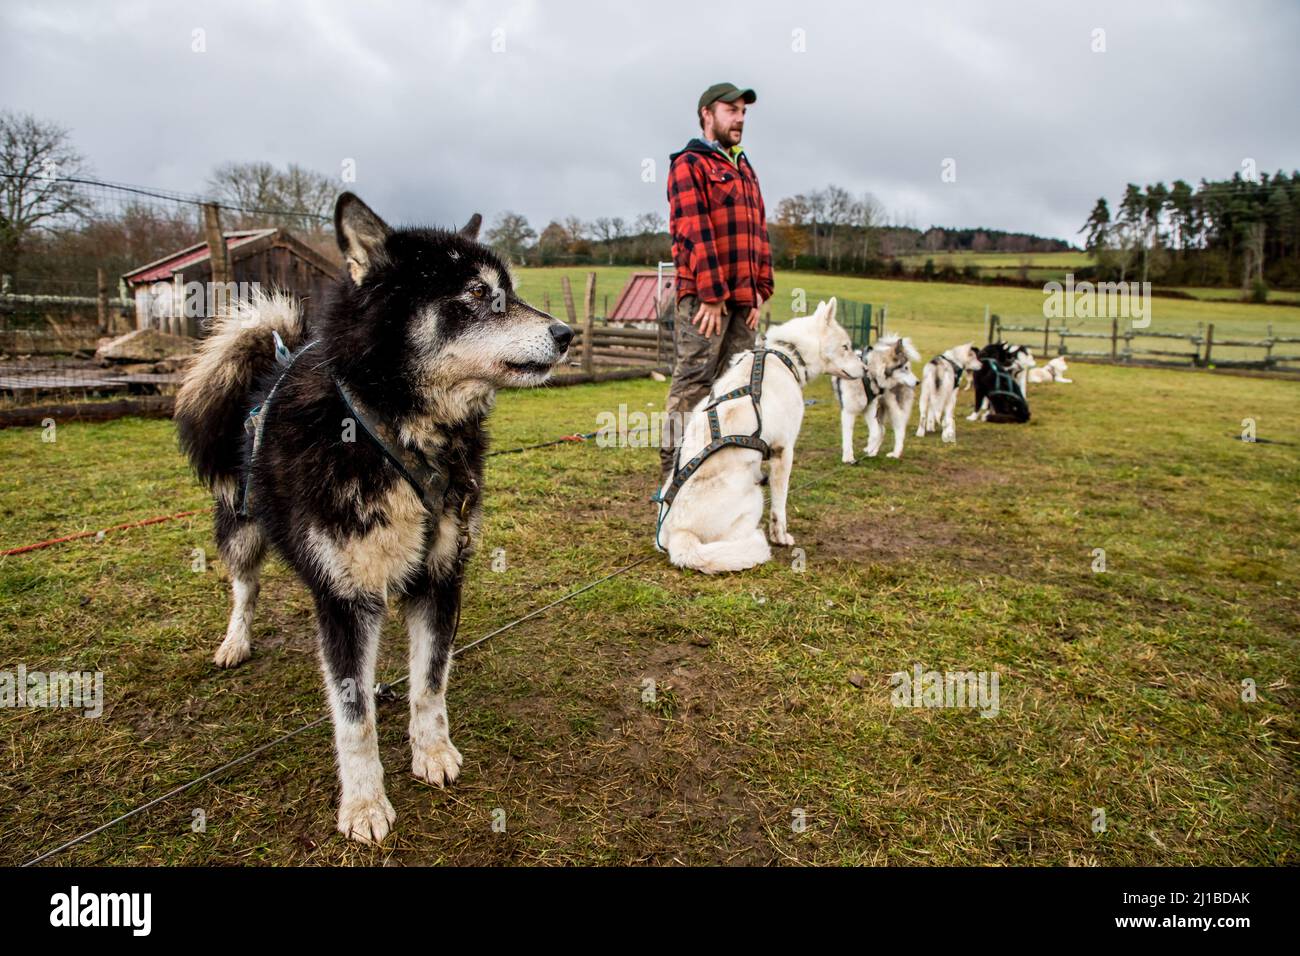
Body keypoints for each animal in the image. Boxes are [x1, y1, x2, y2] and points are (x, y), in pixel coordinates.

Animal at [174, 195, 574, 842]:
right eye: (479, 293)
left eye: (509, 290)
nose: (566, 333)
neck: (395, 434)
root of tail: (273, 363)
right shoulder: (344, 597)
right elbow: (354, 715)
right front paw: (363, 802)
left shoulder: (441, 577)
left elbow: (430, 683)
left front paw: (431, 752)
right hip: (243, 525)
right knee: (245, 587)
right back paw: (235, 640)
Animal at [655, 295, 868, 572]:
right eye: (846, 347)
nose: (866, 369)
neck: (786, 354)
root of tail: (679, 534)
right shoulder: (784, 451)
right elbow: (780, 505)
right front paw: (781, 536)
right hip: (754, 493)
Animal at [832, 335, 925, 463]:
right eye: (905, 368)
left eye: (909, 368)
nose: (918, 382)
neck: (869, 374)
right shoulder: (852, 411)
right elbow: (853, 436)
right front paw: (850, 457)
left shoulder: (869, 409)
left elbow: (875, 433)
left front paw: (856, 454)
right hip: (880, 409)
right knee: (882, 430)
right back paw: (873, 451)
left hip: (893, 409)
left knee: (899, 431)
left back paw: (894, 454)